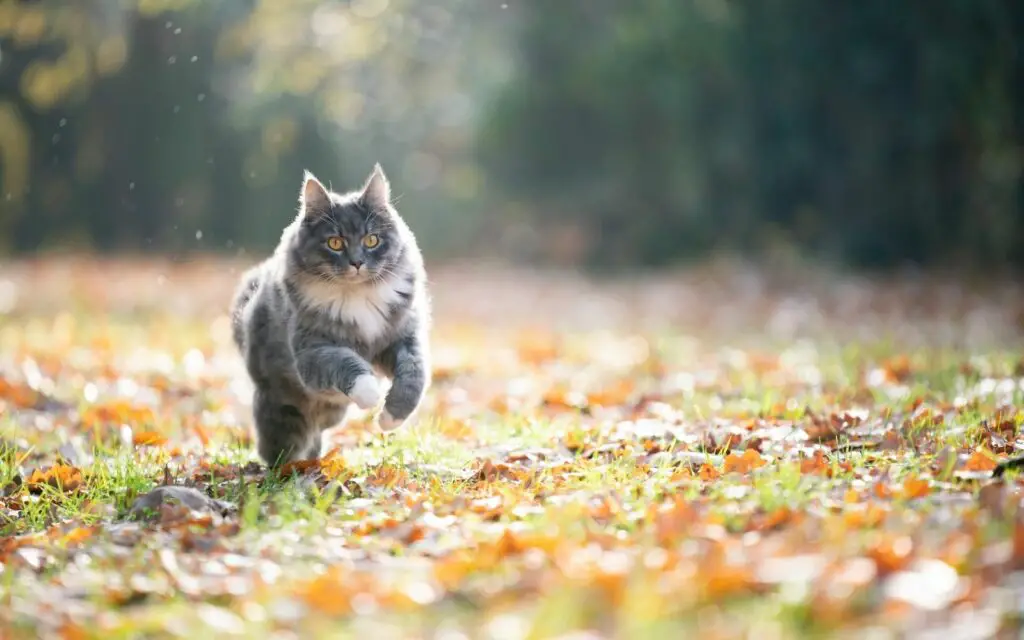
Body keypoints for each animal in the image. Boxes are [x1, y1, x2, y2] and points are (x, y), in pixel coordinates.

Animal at [229, 163, 428, 464]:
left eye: (371, 240)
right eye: (335, 243)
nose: (357, 262)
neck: (358, 295)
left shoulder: (402, 338)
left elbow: (414, 375)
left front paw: (390, 417)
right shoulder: (314, 350)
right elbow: (346, 363)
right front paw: (371, 393)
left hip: (330, 413)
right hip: (283, 409)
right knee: (281, 445)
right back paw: (291, 468)